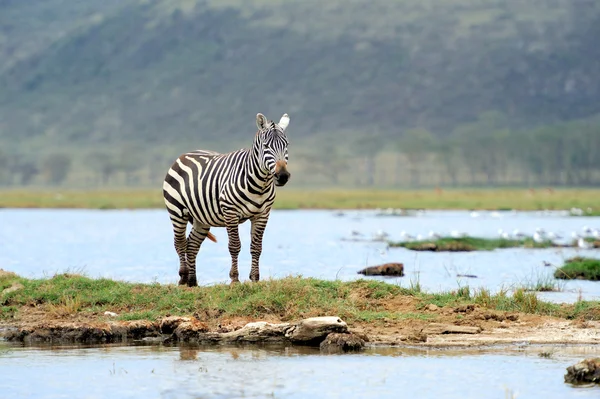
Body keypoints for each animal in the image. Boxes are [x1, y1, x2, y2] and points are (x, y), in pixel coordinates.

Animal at [161, 113, 290, 288]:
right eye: (266, 146)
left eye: (286, 145)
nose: (282, 176)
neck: (260, 184)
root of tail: (184, 155)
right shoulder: (230, 211)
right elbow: (234, 246)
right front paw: (235, 279)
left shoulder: (262, 214)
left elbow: (256, 247)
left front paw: (255, 279)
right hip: (177, 210)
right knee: (180, 242)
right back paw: (183, 278)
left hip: (201, 217)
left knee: (192, 244)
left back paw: (193, 281)